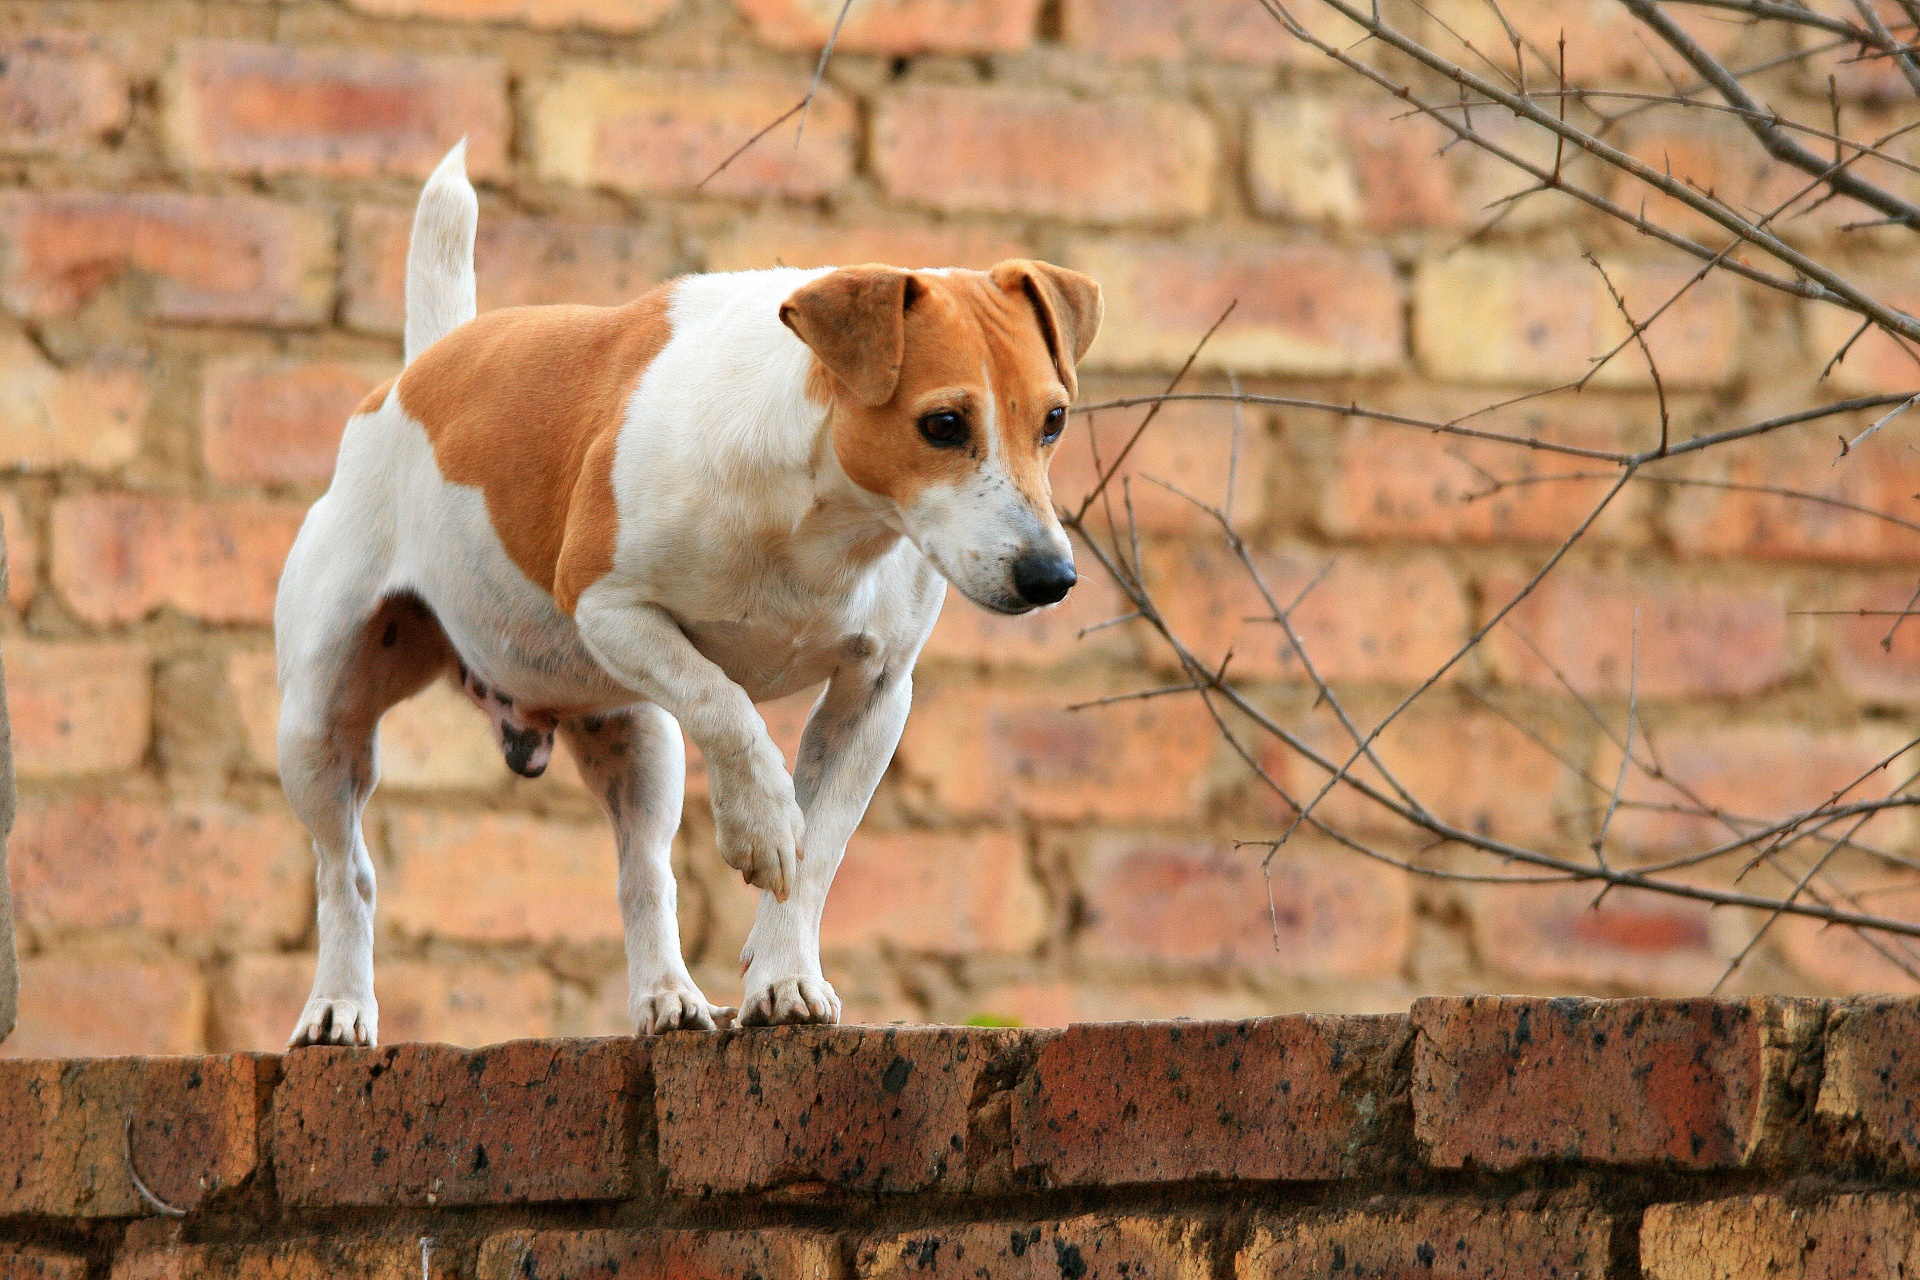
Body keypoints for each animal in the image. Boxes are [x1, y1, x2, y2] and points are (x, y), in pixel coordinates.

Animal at [276, 142, 1105, 1043]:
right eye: (944, 424)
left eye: (1054, 421)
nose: (1052, 578)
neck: (825, 517)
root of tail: (425, 367)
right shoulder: (609, 608)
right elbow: (727, 707)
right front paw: (764, 822)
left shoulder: (875, 696)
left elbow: (819, 853)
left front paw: (785, 978)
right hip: (318, 729)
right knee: (343, 872)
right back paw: (337, 1004)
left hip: (639, 746)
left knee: (644, 872)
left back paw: (666, 996)